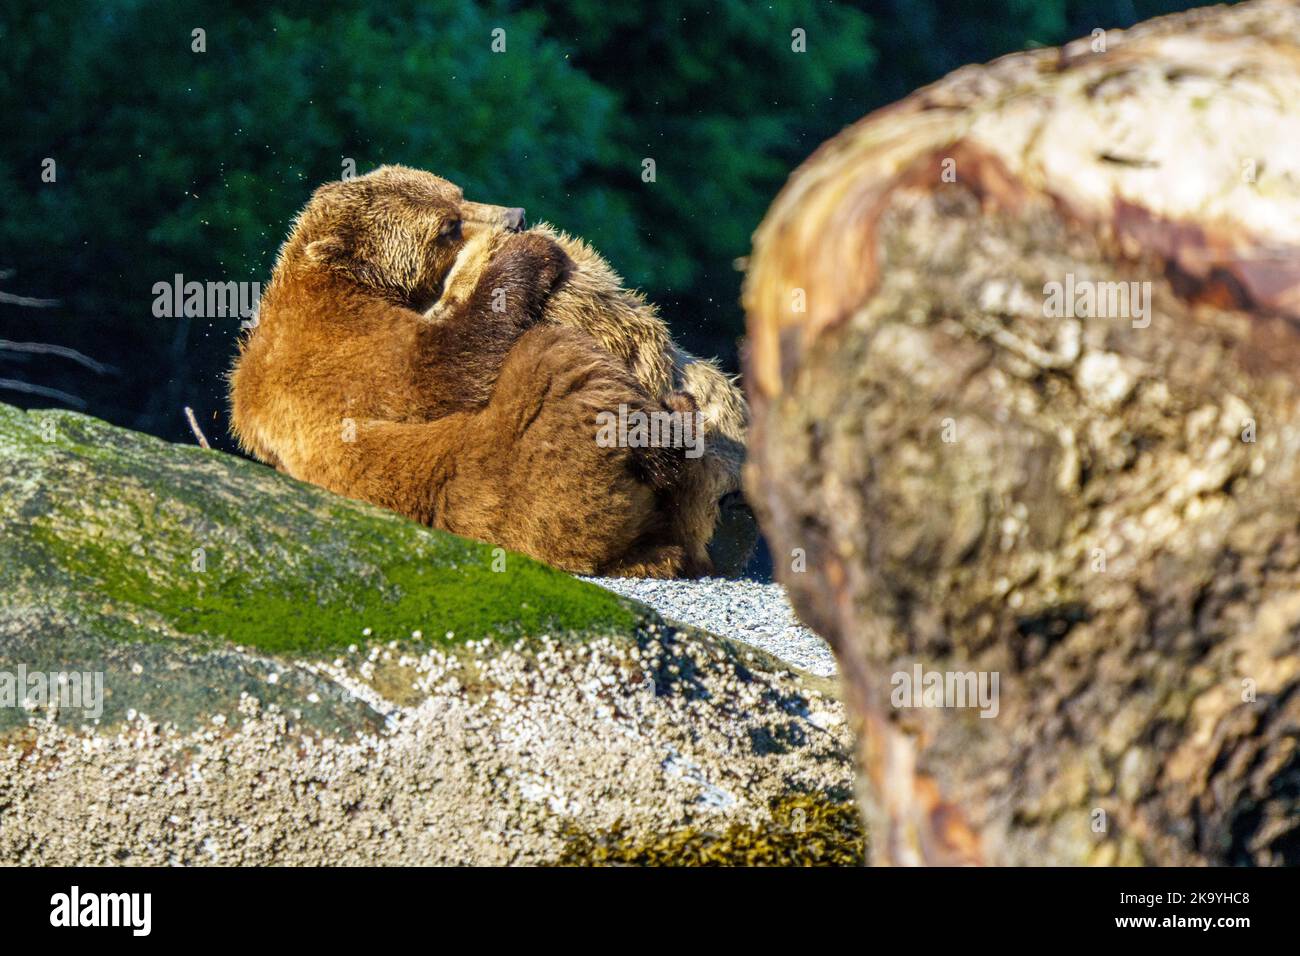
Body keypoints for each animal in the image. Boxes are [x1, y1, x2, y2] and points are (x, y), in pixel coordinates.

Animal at [228, 164, 707, 574]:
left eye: (458, 193)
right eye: (448, 226)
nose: (516, 216)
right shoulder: (344, 344)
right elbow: (444, 366)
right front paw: (533, 251)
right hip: (516, 482)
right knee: (556, 364)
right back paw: (675, 421)